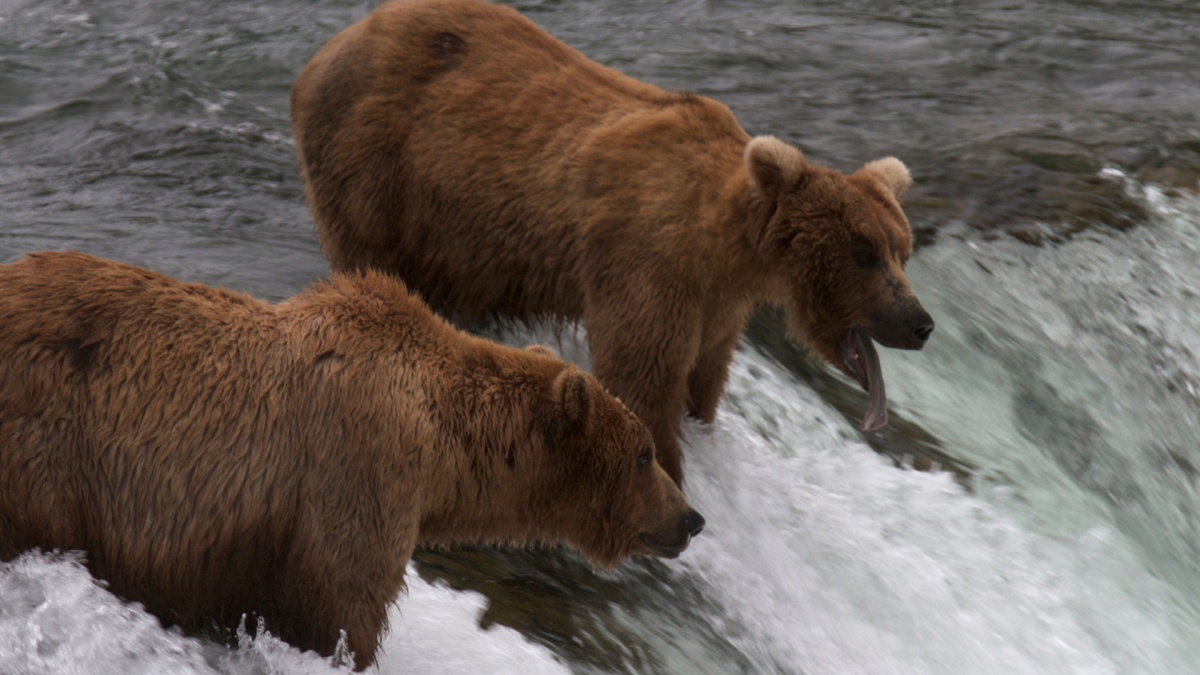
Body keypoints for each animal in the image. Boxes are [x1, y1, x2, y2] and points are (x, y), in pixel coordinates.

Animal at [0, 251, 700, 667]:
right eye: (644, 454)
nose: (691, 519)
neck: (440, 446)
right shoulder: (355, 475)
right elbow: (345, 609)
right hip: (47, 447)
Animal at [292, 0, 936, 485]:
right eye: (863, 252)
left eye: (901, 250)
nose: (921, 323)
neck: (725, 250)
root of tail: (330, 46)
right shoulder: (648, 265)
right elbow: (642, 378)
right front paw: (667, 472)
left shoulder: (718, 309)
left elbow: (703, 380)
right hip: (376, 166)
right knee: (372, 259)